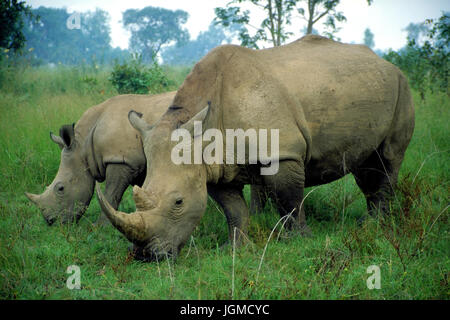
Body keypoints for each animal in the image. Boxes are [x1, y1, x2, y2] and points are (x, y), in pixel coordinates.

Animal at [24, 91, 176, 224]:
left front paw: (100, 227)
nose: (51, 222)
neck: (82, 146)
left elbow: (110, 194)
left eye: (60, 188)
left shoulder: (122, 160)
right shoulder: (136, 162)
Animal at [96, 35, 414, 260]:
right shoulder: (214, 167)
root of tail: (387, 63)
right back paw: (368, 223)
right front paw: (235, 248)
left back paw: (377, 226)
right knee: (366, 165)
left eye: (178, 202)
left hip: (402, 85)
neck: (203, 125)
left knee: (388, 160)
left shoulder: (282, 153)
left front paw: (298, 240)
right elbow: (233, 210)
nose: (146, 256)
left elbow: (288, 200)